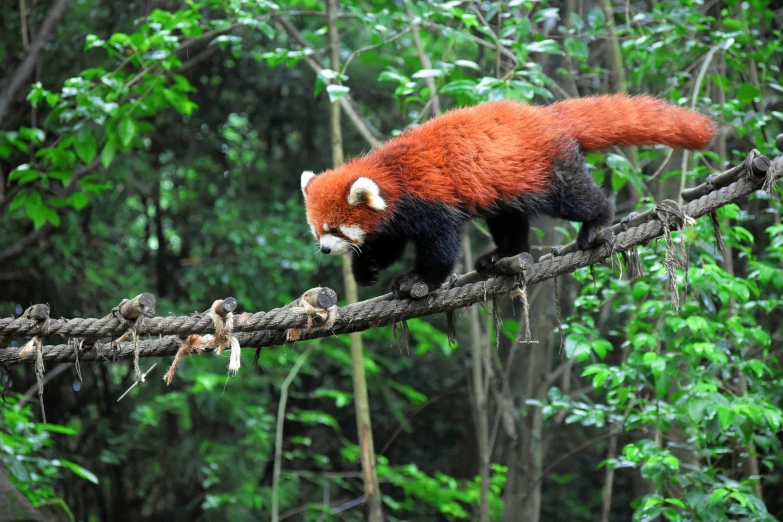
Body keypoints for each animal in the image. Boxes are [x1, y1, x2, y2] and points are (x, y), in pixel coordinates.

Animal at [300, 93, 716, 296]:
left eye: (335, 229)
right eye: (318, 230)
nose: (324, 249)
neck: (392, 173)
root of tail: (547, 116)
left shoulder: (432, 197)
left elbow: (441, 245)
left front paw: (419, 279)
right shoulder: (397, 215)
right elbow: (387, 242)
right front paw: (367, 269)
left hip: (544, 169)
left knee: (575, 198)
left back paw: (597, 224)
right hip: (507, 183)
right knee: (509, 220)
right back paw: (505, 254)